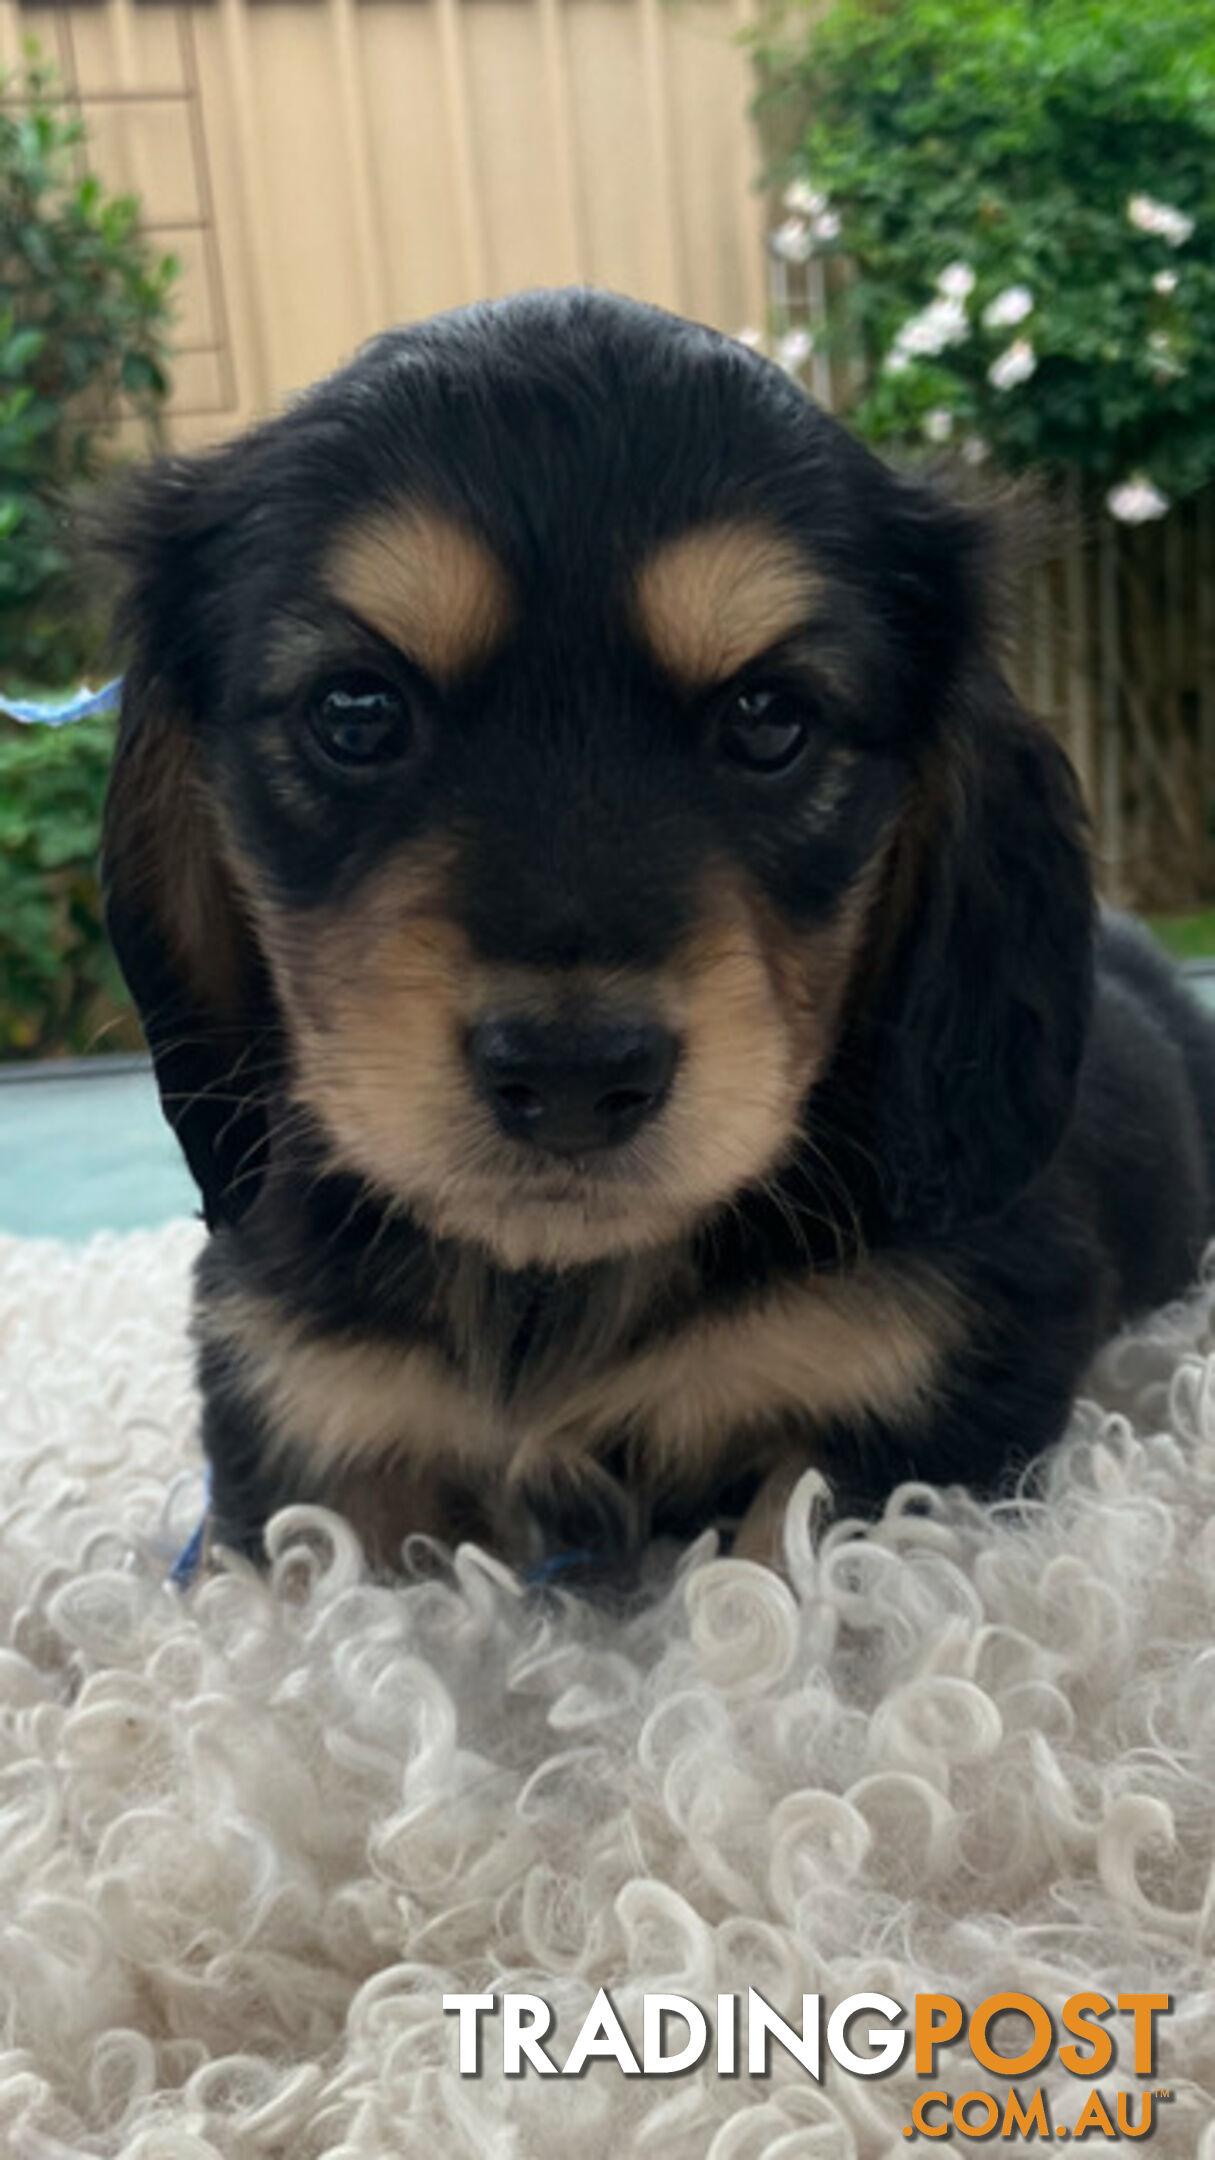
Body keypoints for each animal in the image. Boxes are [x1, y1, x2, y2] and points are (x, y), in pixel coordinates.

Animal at [99, 287, 1210, 1581]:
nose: (574, 1078)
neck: (552, 1286)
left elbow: (791, 1564)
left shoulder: (945, 1382)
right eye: (356, 710)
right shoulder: (298, 1423)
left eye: (770, 716)